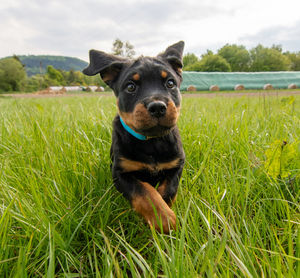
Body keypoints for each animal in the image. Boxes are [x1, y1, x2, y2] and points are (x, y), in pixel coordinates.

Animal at [82, 41, 185, 232]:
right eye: (130, 87)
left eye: (170, 83)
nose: (157, 107)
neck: (152, 142)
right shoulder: (120, 172)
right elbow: (145, 192)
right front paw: (163, 218)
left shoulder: (176, 165)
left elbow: (169, 189)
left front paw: (165, 211)